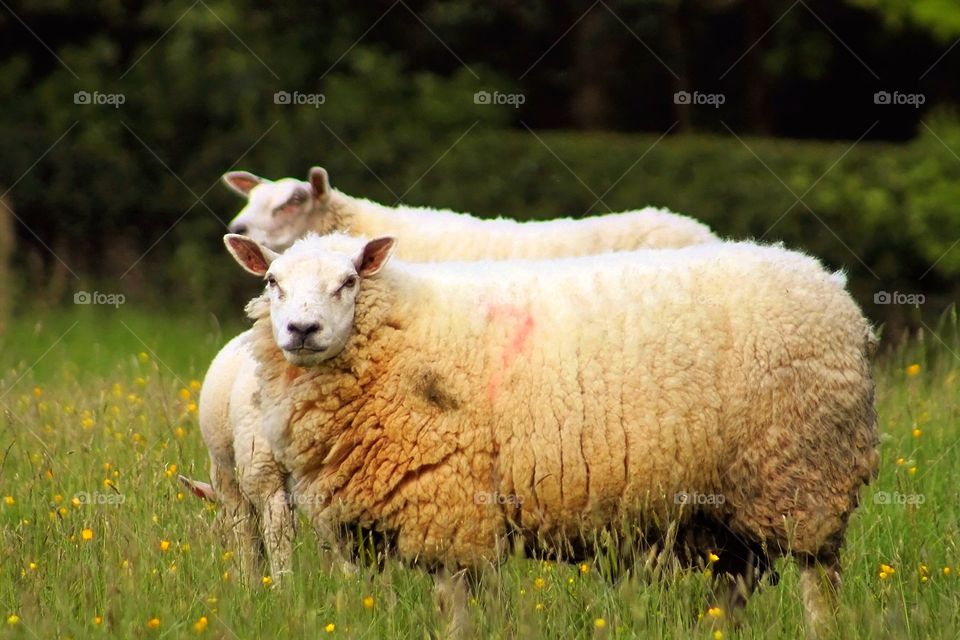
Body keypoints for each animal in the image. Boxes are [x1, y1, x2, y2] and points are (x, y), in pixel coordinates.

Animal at [223, 231, 876, 636]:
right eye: (273, 281)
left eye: (349, 281)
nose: (301, 330)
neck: (398, 335)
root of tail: (831, 284)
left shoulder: (449, 507)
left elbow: (454, 608)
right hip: (726, 504)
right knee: (736, 585)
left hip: (802, 473)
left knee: (819, 582)